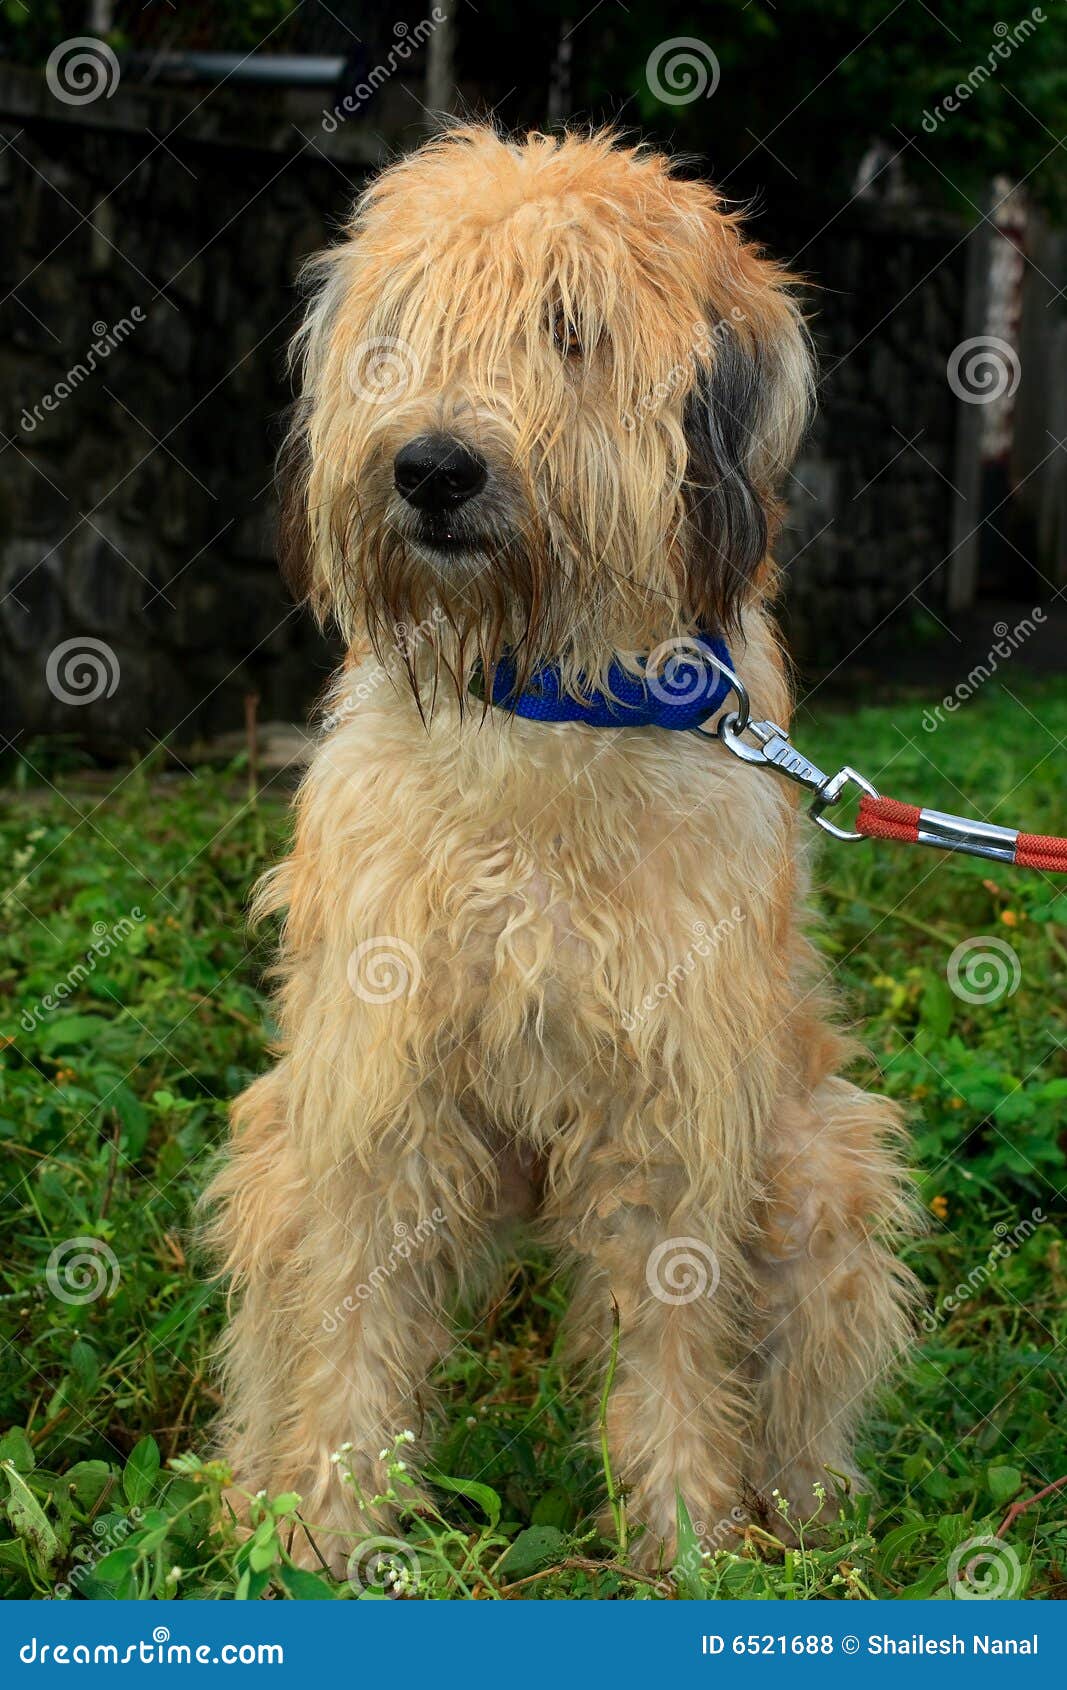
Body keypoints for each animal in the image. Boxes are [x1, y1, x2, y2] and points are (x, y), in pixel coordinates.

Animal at [208, 125, 919, 1575]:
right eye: (406, 325)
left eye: (568, 328)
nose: (430, 469)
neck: (542, 704)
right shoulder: (379, 1090)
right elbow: (351, 1334)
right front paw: (325, 1537)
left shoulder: (675, 1104)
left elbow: (673, 1343)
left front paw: (691, 1540)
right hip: (275, 1150)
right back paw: (249, 1494)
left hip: (817, 1160)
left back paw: (809, 1519)